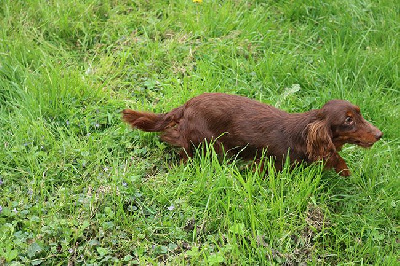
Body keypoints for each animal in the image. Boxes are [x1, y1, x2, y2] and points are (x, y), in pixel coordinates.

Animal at [122, 92, 384, 176]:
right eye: (348, 120)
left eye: (359, 114)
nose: (380, 134)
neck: (302, 134)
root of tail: (187, 105)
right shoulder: (268, 163)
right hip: (212, 144)